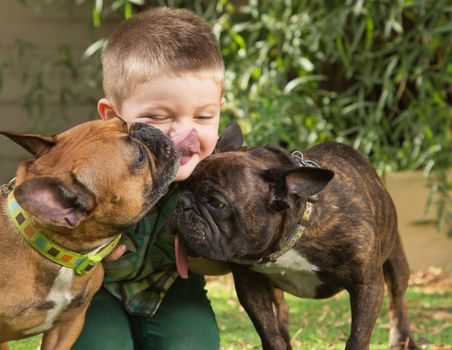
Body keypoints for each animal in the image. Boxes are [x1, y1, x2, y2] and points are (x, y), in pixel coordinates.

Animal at [173, 123, 416, 350]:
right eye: (181, 186)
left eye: (216, 202)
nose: (181, 204)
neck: (295, 233)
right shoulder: (249, 285)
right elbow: (269, 331)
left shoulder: (367, 284)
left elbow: (358, 336)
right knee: (281, 309)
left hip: (396, 262)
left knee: (398, 301)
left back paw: (402, 339)